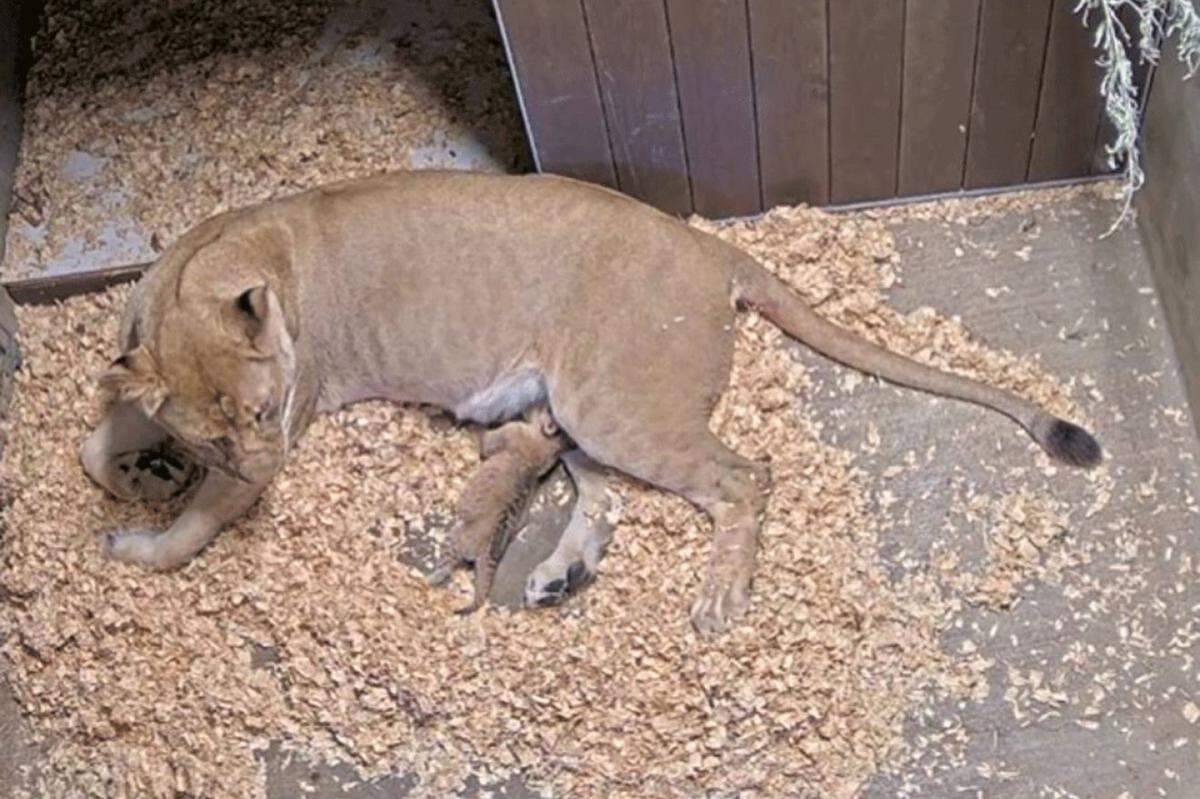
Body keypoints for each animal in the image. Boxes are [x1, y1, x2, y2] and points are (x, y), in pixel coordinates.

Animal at [80, 171, 1100, 632]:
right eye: (219, 432)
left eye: (261, 416)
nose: (262, 470)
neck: (201, 270)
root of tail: (714, 249)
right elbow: (100, 437)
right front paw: (139, 468)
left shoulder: (287, 421)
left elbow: (195, 526)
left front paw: (138, 542)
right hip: (574, 411)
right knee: (608, 499)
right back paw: (557, 574)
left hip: (609, 401)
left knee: (744, 475)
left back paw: (721, 594)